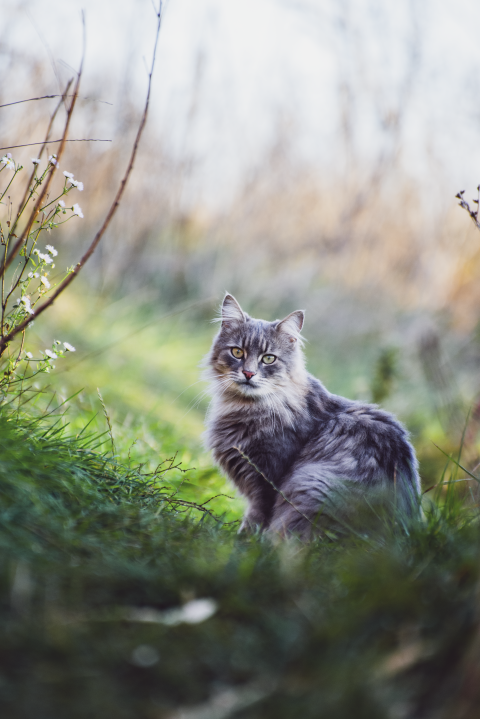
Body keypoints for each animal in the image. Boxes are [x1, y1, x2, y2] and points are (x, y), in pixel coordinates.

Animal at [202, 294, 420, 540]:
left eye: (268, 359)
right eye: (237, 352)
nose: (248, 373)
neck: (246, 407)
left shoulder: (268, 480)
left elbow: (254, 520)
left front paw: (239, 543)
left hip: (312, 484)